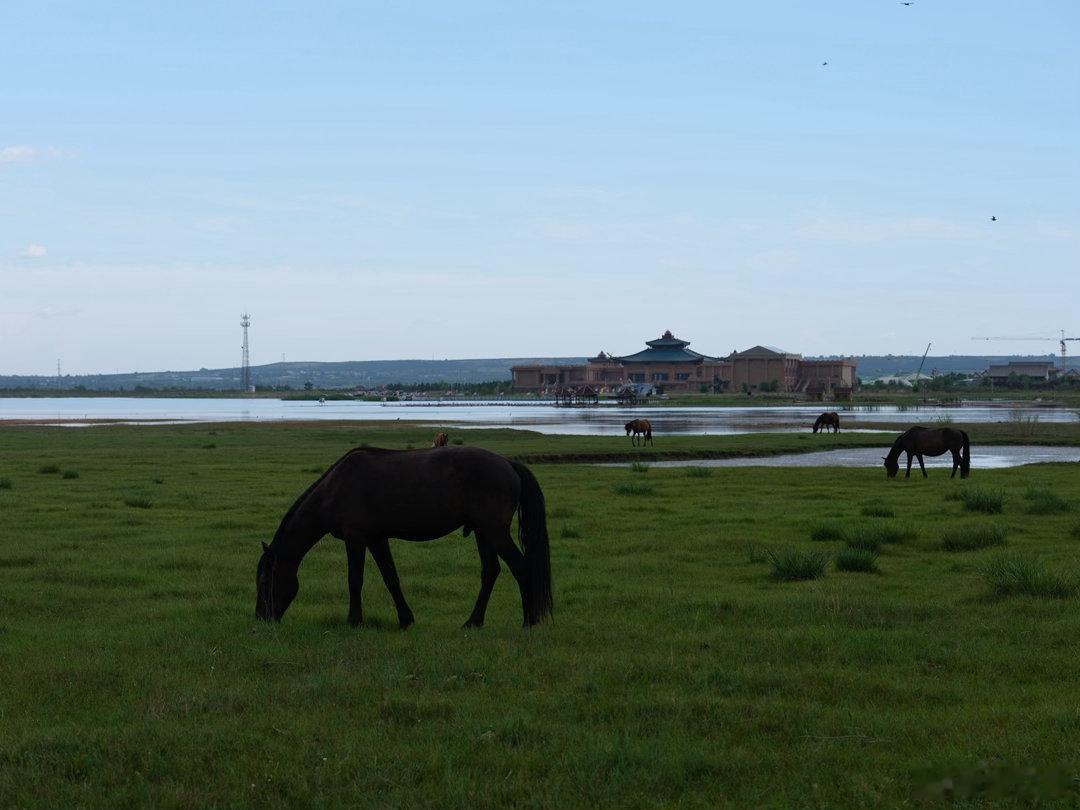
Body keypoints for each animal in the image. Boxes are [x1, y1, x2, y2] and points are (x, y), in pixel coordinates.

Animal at [255, 446, 553, 628]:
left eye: (266, 581)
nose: (262, 617)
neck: (335, 489)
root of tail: (508, 463)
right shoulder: (376, 539)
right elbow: (391, 579)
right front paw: (405, 619)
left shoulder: (356, 539)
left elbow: (354, 580)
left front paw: (354, 620)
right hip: (483, 532)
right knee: (491, 572)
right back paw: (473, 622)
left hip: (494, 531)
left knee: (522, 568)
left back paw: (528, 622)